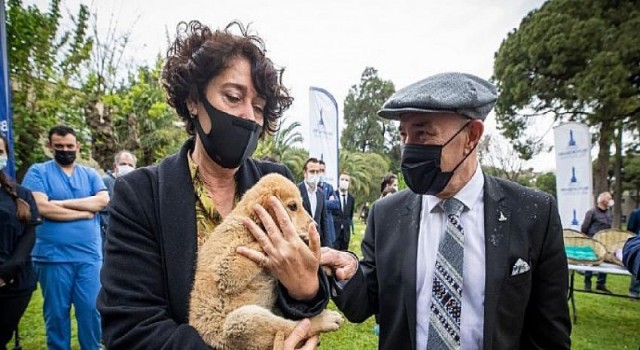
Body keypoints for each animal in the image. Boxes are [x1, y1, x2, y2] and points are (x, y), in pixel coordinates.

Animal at [188, 174, 342, 348]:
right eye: (293, 206)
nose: (315, 226)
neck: (248, 220)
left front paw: (326, 260)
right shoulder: (227, 268)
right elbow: (271, 239)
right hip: (242, 321)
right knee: (292, 327)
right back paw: (325, 320)